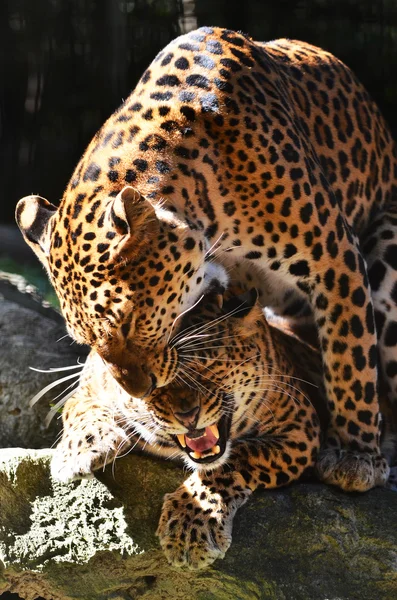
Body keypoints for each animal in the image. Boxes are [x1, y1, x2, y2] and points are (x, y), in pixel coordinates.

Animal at [17, 25, 396, 490]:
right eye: (85, 340)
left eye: (128, 322)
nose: (139, 391)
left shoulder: (334, 257)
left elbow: (350, 355)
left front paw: (356, 455)